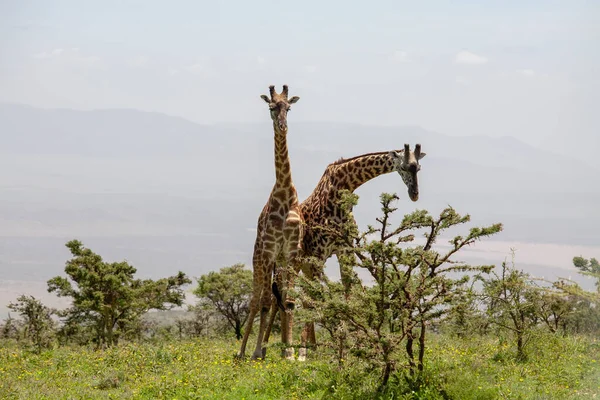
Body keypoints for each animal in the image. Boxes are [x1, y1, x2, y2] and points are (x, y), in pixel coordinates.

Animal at [264, 143, 426, 360]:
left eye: (418, 168)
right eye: (403, 167)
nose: (414, 194)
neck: (344, 186)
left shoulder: (344, 250)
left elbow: (346, 294)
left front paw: (347, 348)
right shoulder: (319, 254)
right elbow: (314, 300)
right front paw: (305, 353)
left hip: (303, 266)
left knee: (288, 298)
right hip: (288, 263)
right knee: (281, 299)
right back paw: (276, 348)